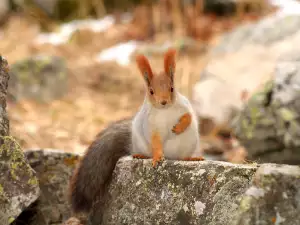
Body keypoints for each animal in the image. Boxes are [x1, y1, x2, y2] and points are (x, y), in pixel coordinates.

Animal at [68, 48, 204, 220]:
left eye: (172, 88)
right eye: (151, 91)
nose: (163, 102)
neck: (165, 111)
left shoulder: (185, 107)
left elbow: (189, 117)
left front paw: (178, 128)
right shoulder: (150, 125)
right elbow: (155, 140)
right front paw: (157, 156)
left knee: (182, 156)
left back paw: (191, 158)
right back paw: (141, 155)